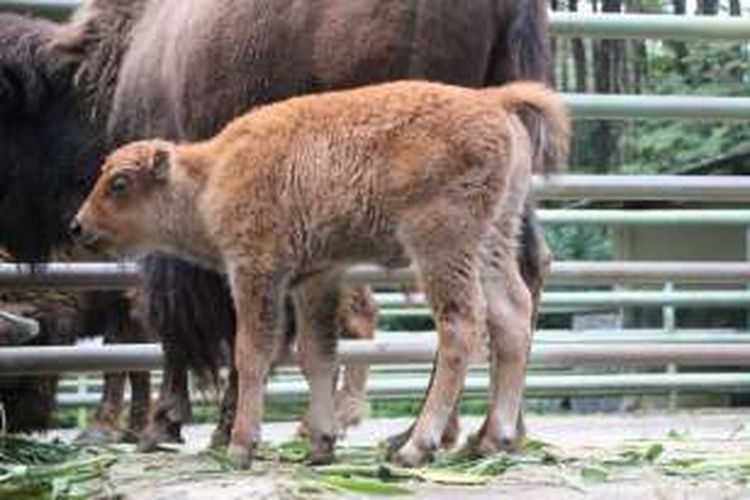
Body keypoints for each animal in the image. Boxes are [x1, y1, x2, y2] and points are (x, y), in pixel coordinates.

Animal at [55, 0, 552, 460]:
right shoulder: (316, 277)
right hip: (492, 238)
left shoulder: (255, 271)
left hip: (441, 245)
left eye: (119, 183)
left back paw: (417, 444)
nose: (78, 226)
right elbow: (317, 355)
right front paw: (319, 443)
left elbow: (248, 350)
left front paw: (232, 441)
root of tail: (495, 104)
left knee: (461, 325)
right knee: (513, 308)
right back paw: (493, 437)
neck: (211, 172)